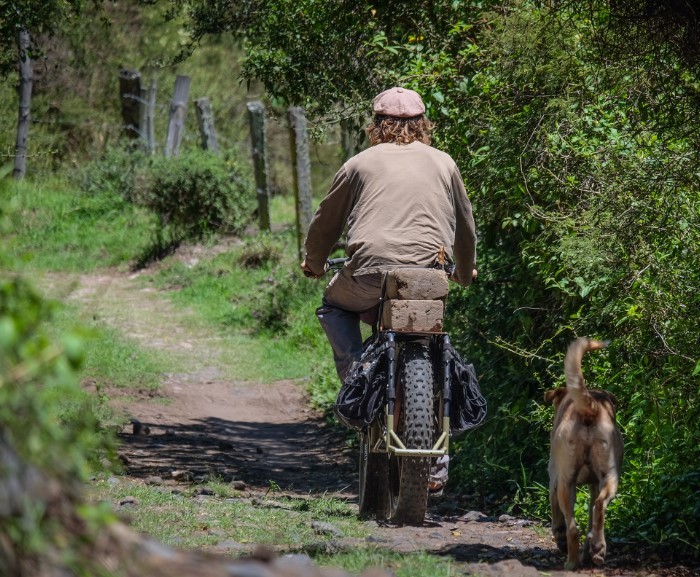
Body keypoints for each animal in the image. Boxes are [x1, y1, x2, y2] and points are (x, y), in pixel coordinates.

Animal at [544, 338, 620, 568]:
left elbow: (557, 516)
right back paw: (598, 548)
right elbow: (592, 514)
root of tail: (590, 408)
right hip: (610, 476)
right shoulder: (594, 484)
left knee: (572, 527)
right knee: (599, 507)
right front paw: (591, 548)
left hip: (565, 483)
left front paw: (560, 537)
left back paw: (571, 561)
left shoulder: (554, 480)